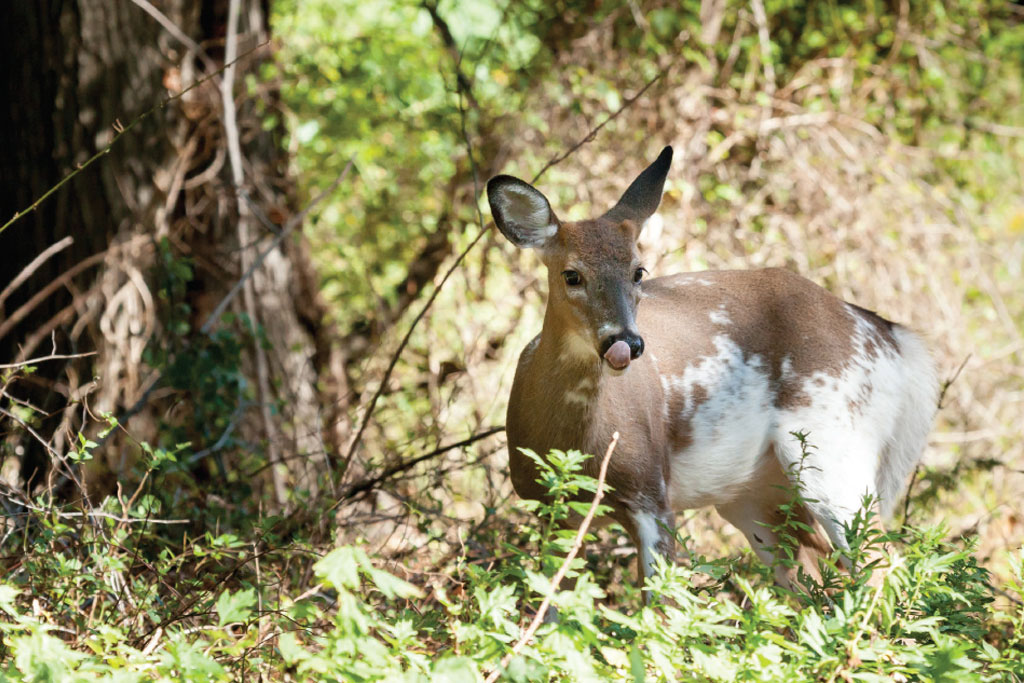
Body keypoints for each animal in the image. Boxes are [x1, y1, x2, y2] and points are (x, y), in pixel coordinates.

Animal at [487, 147, 937, 589]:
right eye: (571, 275)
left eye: (638, 271)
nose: (626, 343)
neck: (575, 442)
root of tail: (890, 335)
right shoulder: (552, 507)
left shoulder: (652, 492)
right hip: (756, 496)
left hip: (835, 449)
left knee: (881, 565)